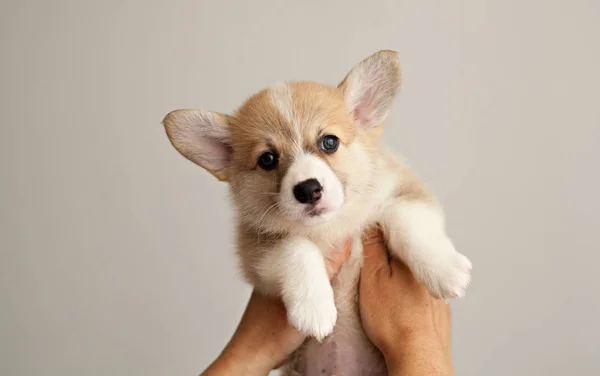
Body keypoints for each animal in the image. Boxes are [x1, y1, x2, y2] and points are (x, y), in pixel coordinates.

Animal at [162, 50, 472, 376]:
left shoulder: (406, 190)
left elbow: (404, 217)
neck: (332, 226)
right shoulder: (257, 253)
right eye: (267, 159)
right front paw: (314, 308)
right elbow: (296, 246)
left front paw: (445, 271)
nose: (309, 189)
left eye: (329, 142)